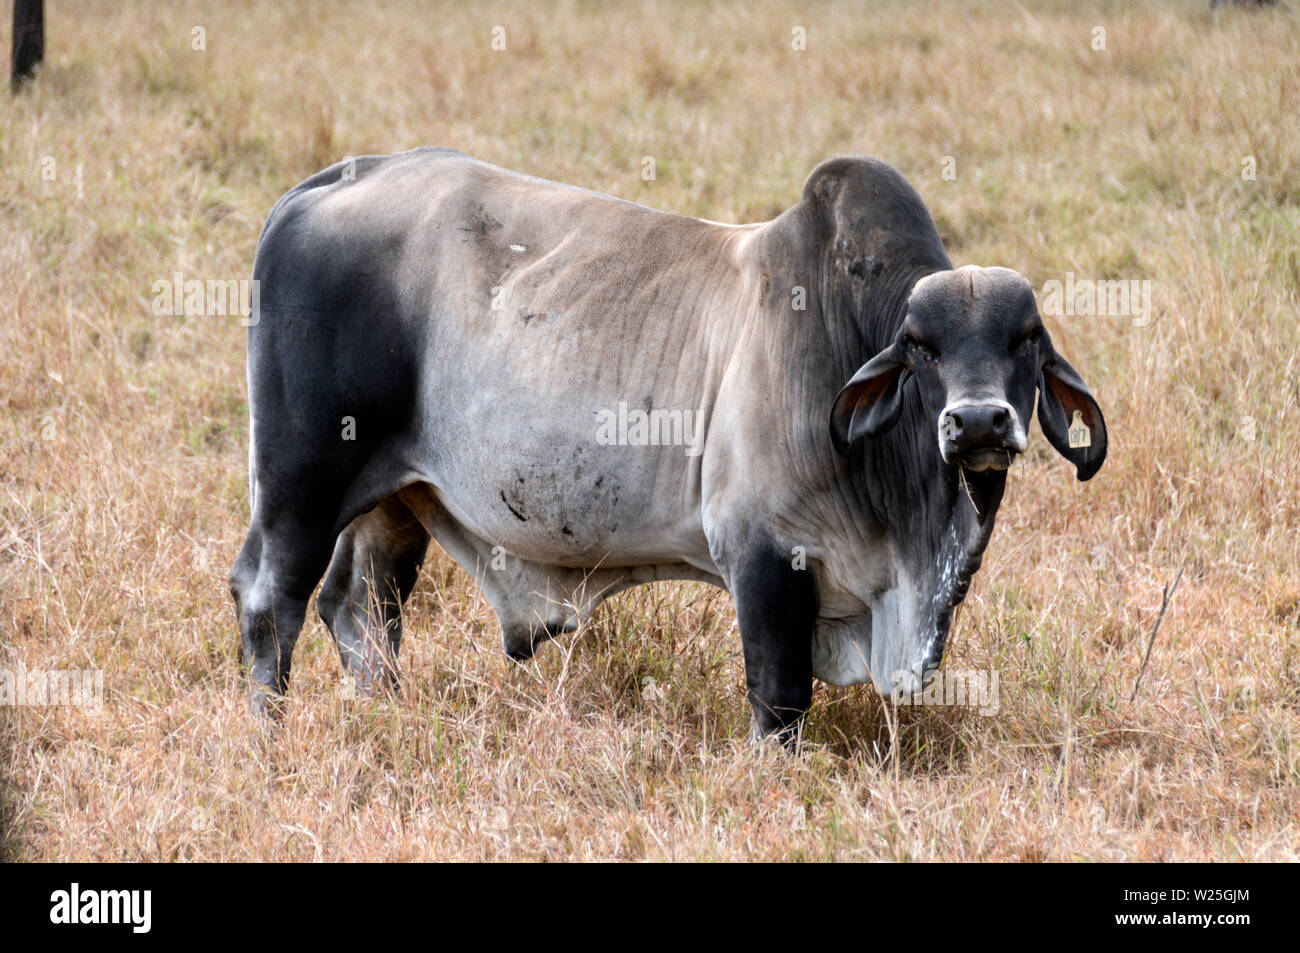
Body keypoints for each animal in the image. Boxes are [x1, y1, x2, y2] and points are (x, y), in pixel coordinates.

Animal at [228, 150, 1102, 743]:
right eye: (920, 347)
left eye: (1026, 340)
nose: (979, 422)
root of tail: (339, 179)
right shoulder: (762, 551)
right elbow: (778, 697)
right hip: (302, 480)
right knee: (271, 596)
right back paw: (269, 732)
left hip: (397, 497)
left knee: (360, 606)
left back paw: (390, 715)